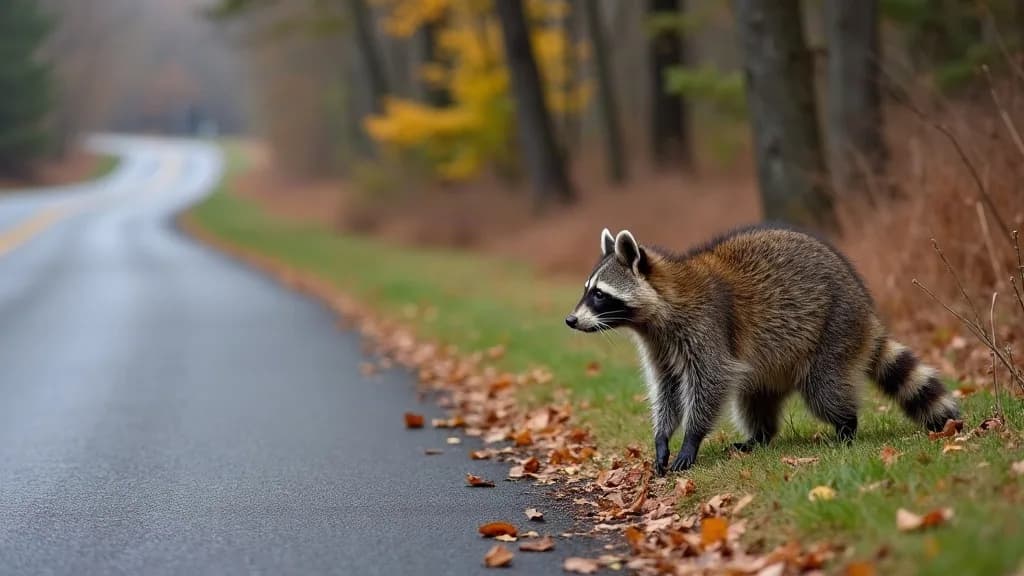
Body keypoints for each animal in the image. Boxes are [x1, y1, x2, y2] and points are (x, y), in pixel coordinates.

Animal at [566, 226, 959, 476]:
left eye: (599, 294)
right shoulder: (660, 346)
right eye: (587, 290)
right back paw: (759, 436)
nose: (571, 320)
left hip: (835, 329)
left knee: (824, 389)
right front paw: (662, 438)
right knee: (753, 399)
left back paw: (846, 426)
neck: (661, 302)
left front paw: (690, 439)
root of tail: (867, 311)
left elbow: (710, 381)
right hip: (775, 364)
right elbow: (668, 389)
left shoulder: (706, 327)